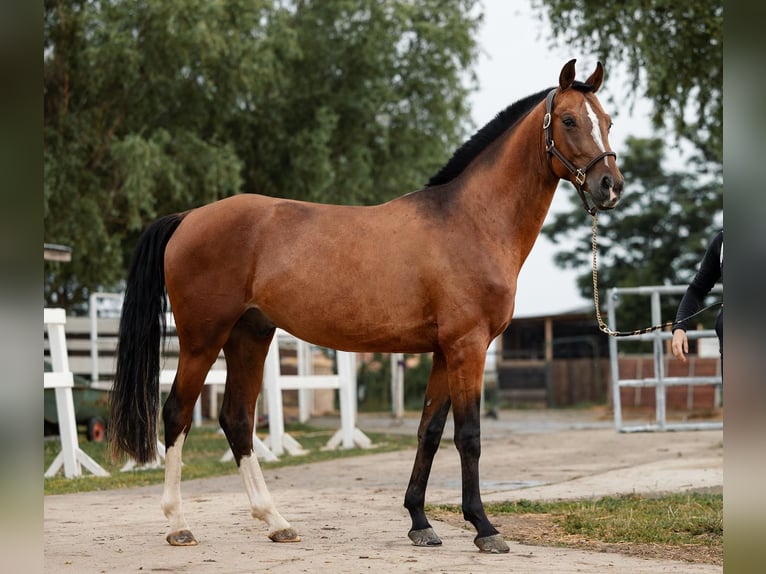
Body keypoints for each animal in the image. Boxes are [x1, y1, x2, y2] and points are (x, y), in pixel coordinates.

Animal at [108, 58, 624, 552]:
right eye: (570, 120)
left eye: (608, 121)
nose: (609, 186)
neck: (470, 221)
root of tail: (188, 217)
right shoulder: (468, 347)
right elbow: (469, 436)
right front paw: (483, 527)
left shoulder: (444, 352)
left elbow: (429, 432)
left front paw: (420, 522)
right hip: (202, 339)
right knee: (177, 413)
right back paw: (179, 525)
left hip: (250, 335)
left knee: (236, 419)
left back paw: (276, 522)